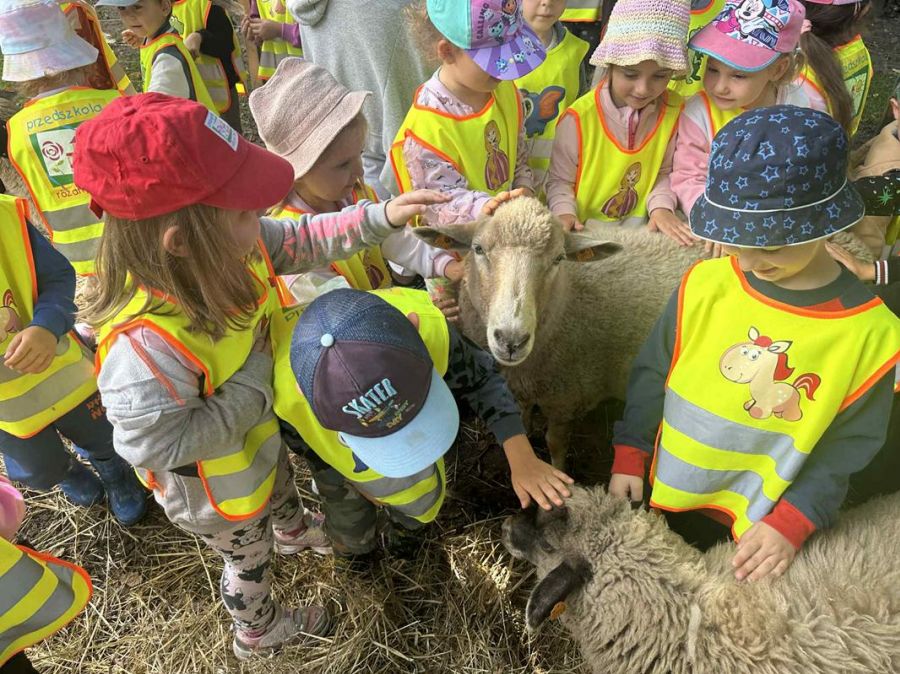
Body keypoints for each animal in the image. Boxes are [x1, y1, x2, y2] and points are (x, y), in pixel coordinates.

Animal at [414, 197, 705, 468]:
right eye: (478, 249)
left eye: (558, 258)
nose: (511, 340)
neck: (568, 300)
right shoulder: (522, 386)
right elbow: (522, 418)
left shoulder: (565, 399)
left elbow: (555, 443)